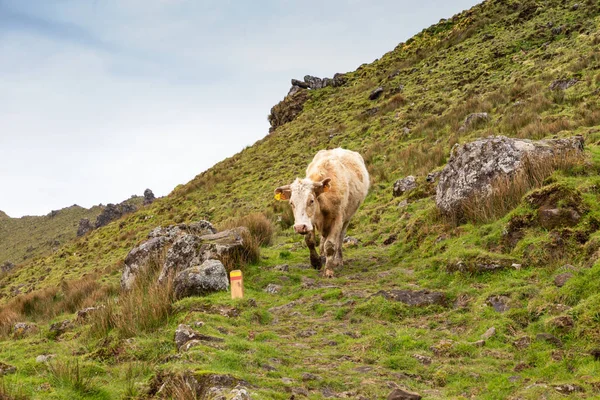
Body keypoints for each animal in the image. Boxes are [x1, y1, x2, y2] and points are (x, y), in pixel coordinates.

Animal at [274, 148, 368, 278]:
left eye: (311, 200)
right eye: (291, 203)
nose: (299, 227)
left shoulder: (337, 219)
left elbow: (330, 245)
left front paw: (328, 270)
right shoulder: (310, 222)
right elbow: (310, 241)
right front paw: (316, 262)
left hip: (347, 218)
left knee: (340, 238)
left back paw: (338, 260)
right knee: (323, 239)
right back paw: (323, 256)